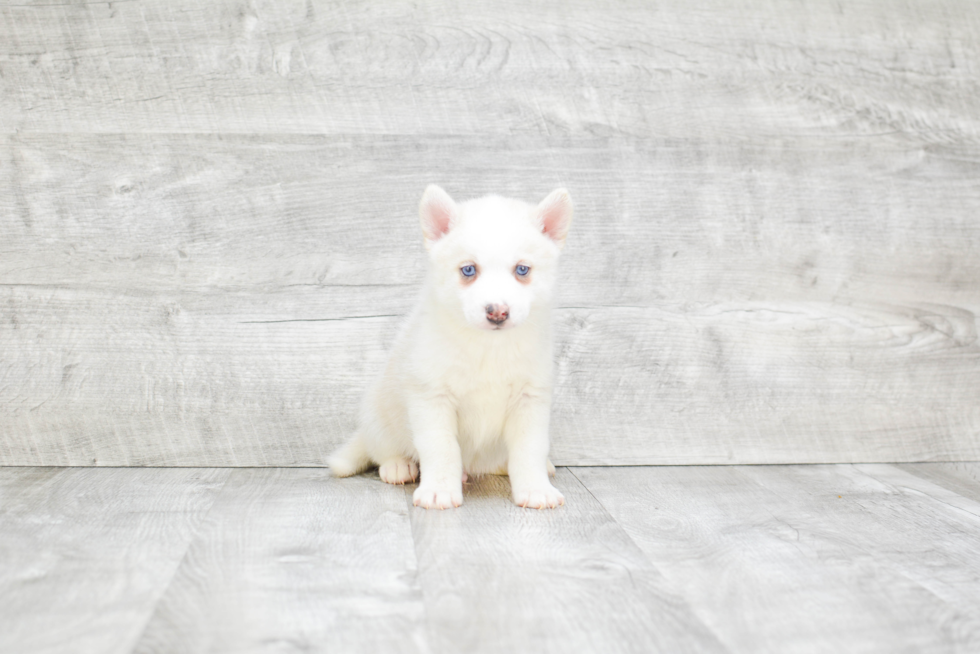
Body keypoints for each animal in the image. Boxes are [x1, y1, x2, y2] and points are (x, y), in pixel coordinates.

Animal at [332, 186, 576, 512]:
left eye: (522, 269)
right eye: (468, 269)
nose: (497, 312)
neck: (488, 348)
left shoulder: (530, 399)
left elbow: (530, 449)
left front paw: (536, 489)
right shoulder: (431, 398)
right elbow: (441, 448)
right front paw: (439, 491)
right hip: (378, 414)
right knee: (382, 448)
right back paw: (398, 466)